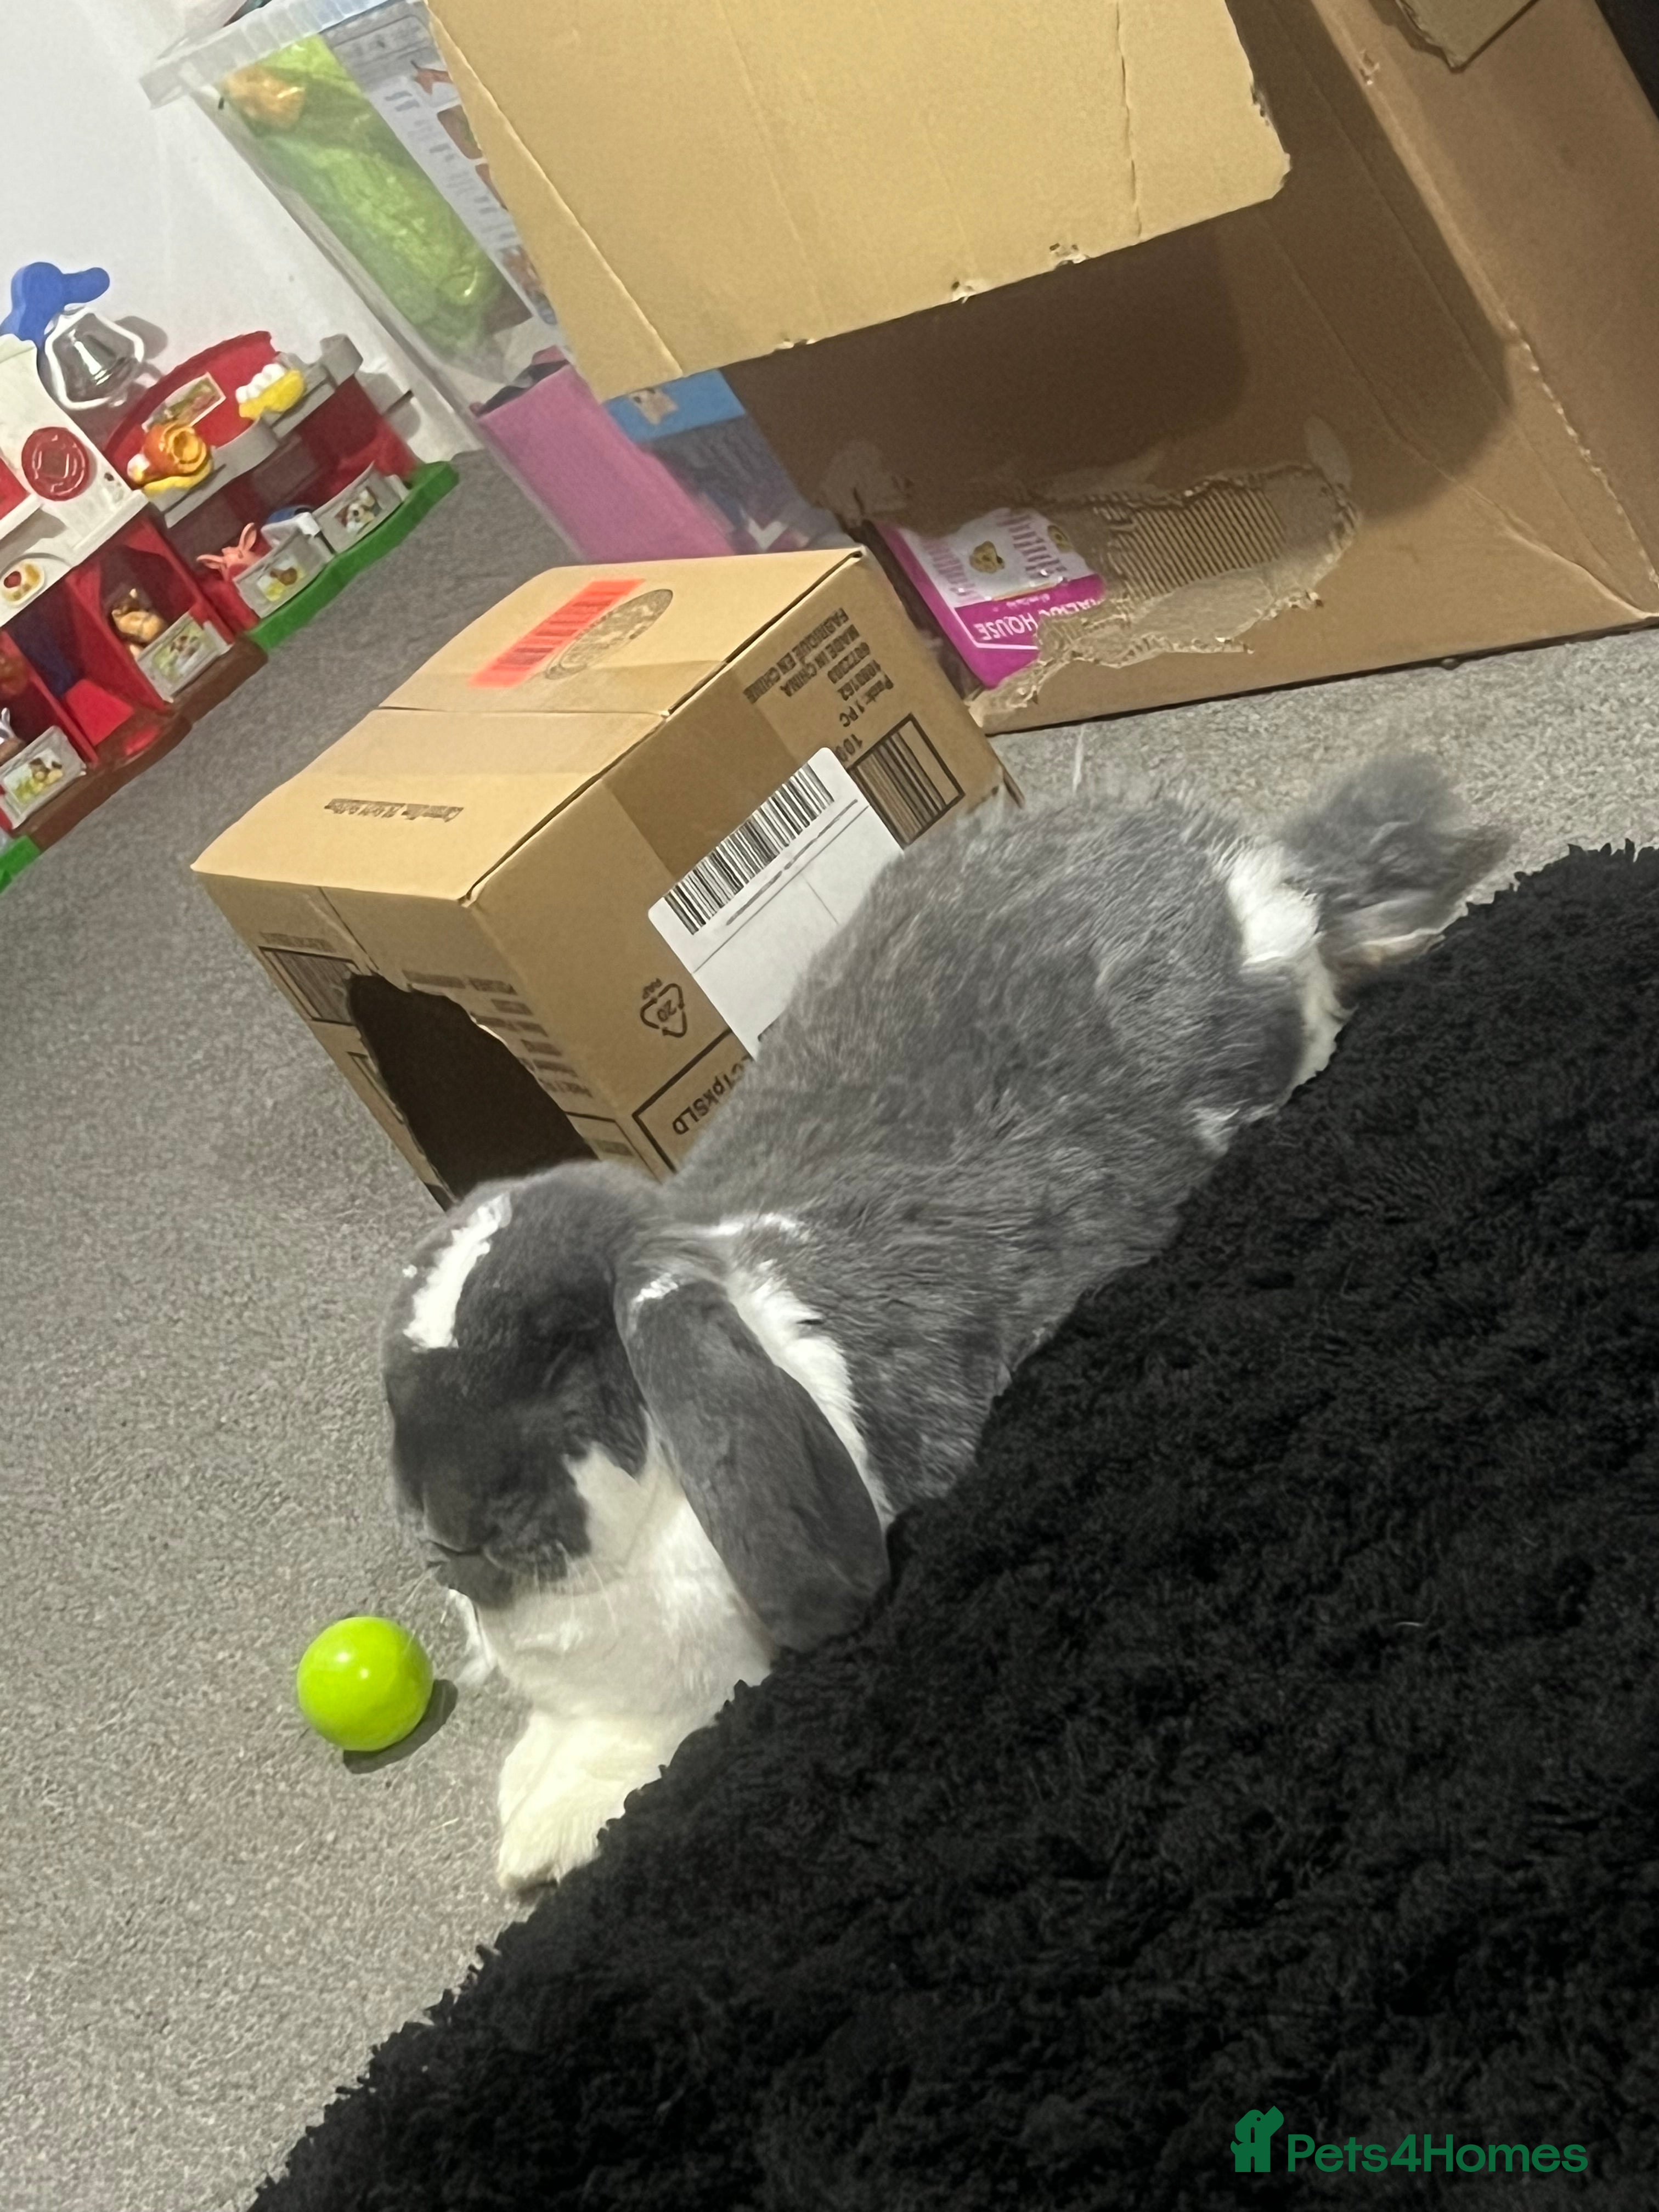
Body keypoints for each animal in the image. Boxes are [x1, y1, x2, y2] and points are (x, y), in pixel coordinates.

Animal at [382, 754, 1508, 1889]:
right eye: (398, 1391)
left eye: (564, 1363)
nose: (450, 1525)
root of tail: (1236, 864)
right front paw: (524, 1812)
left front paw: (544, 1841)